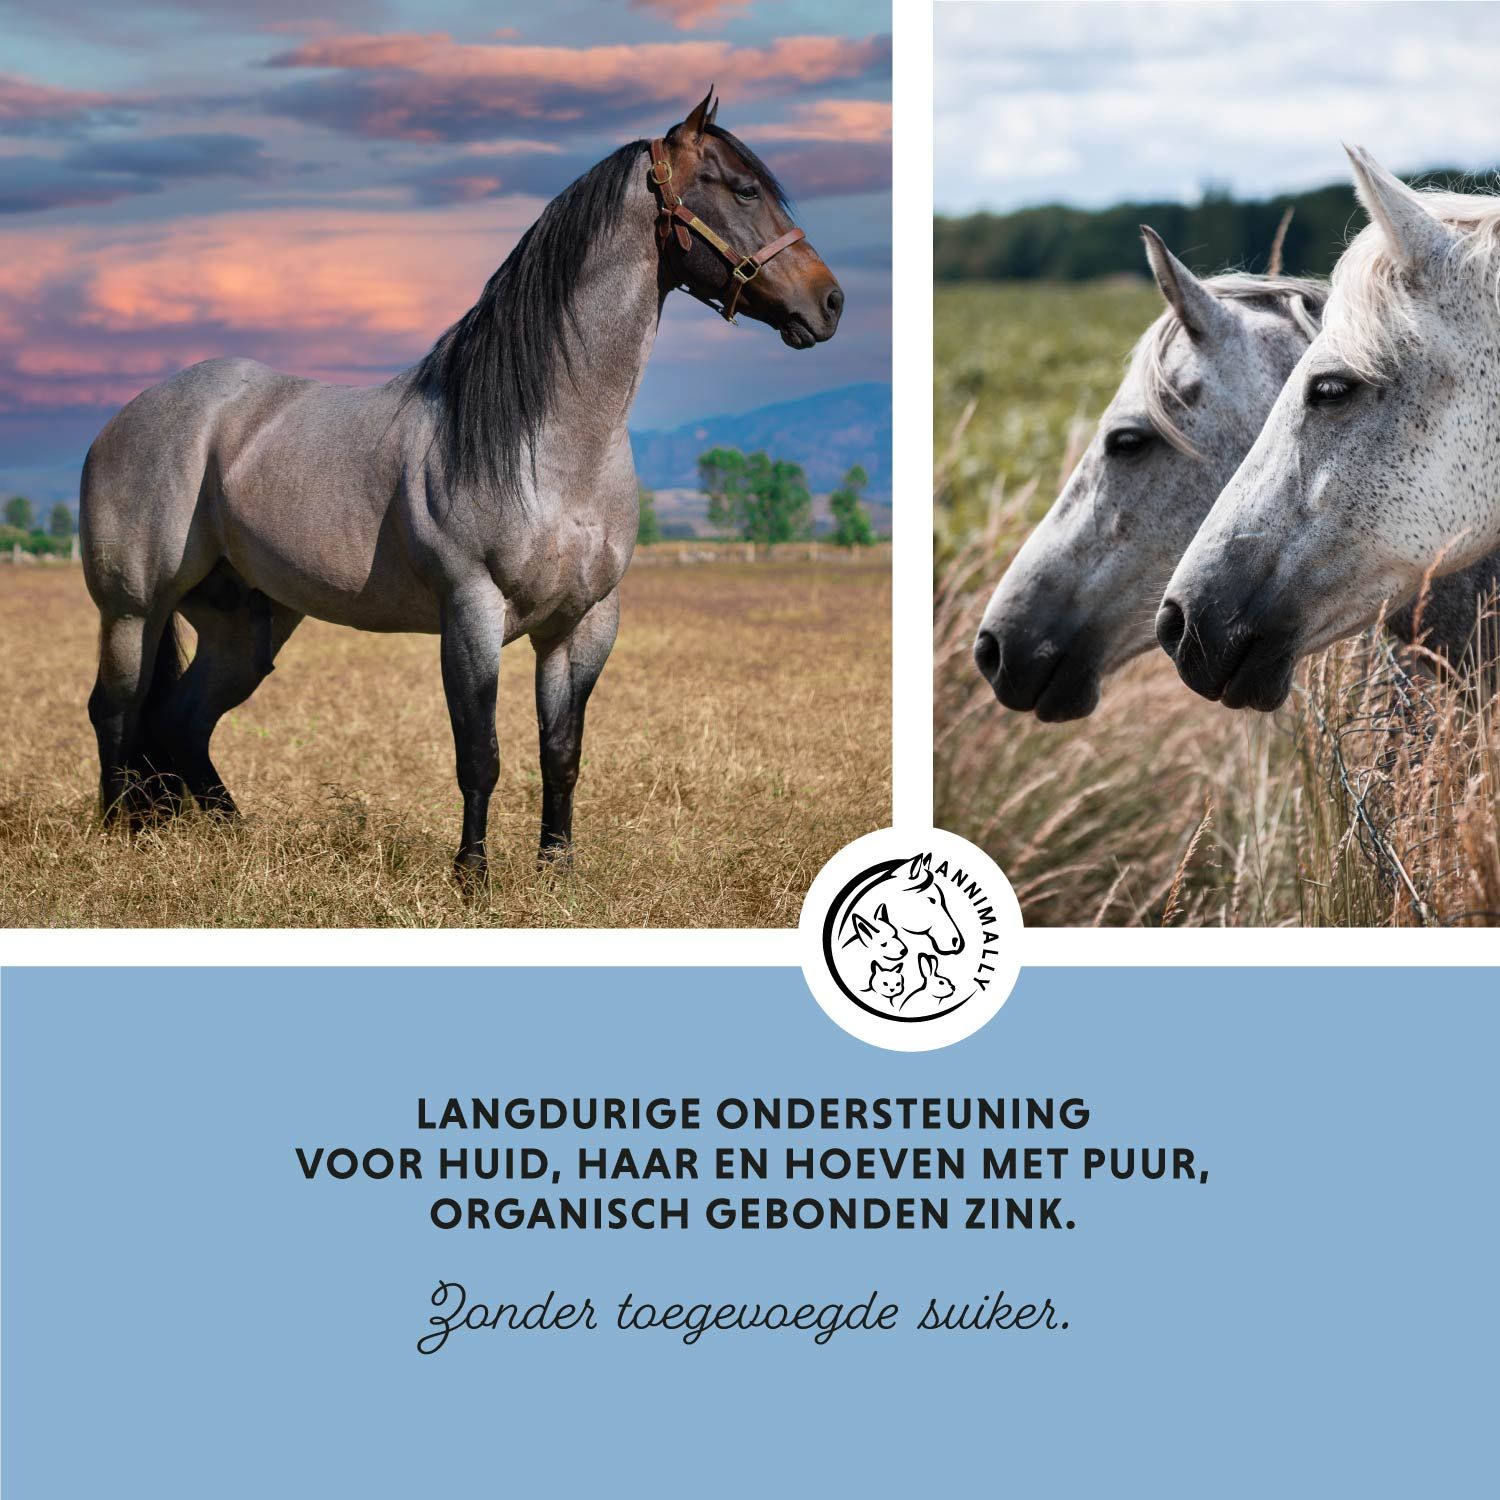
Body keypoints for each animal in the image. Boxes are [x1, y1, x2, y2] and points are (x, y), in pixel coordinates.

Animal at [78, 89, 844, 882]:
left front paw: (557, 871)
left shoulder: (584, 623)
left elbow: (561, 753)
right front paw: (472, 875)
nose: (829, 303)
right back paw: (119, 835)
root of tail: (126, 418)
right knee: (116, 709)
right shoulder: (471, 612)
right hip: (133, 610)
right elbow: (480, 755)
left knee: (183, 723)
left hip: (245, 625)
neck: (551, 445)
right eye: (745, 189)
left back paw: (235, 838)